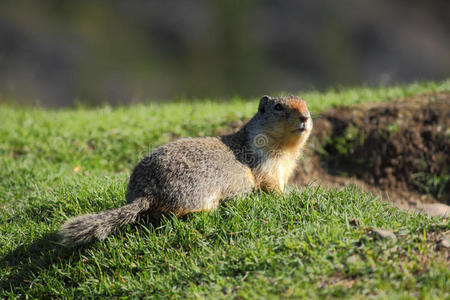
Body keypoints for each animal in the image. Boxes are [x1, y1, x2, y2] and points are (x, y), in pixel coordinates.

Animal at [59, 96, 312, 246]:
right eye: (278, 107)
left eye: (306, 104)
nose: (305, 117)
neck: (285, 149)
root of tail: (145, 192)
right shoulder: (266, 164)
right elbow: (270, 185)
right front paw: (287, 195)